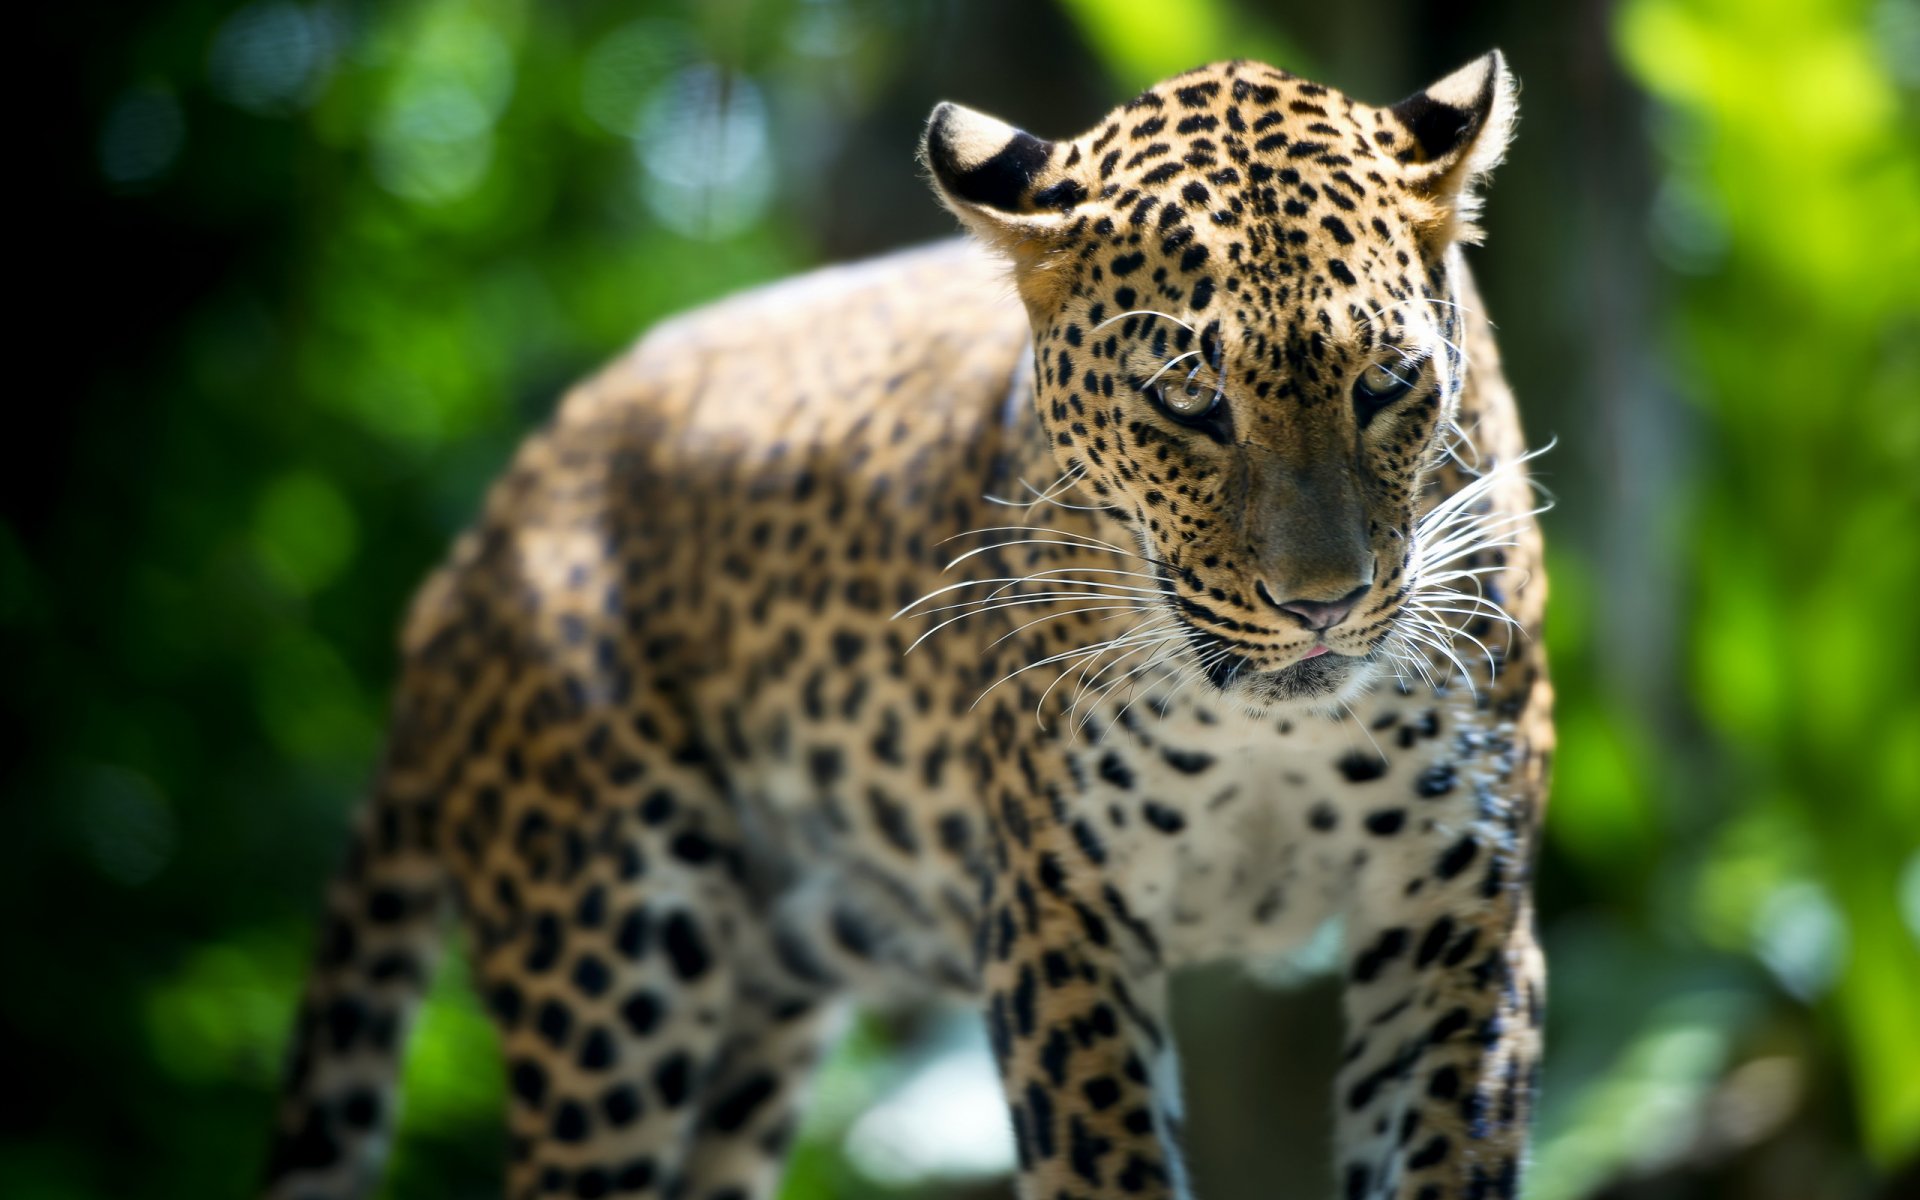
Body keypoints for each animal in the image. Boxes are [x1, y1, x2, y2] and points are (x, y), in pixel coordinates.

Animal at [270, 49, 1551, 1198]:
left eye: (1387, 384)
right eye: (1189, 401)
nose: (1322, 602)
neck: (1271, 730)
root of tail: (465, 563)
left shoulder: (1460, 909)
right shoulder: (1057, 911)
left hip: (756, 1021)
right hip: (610, 974)